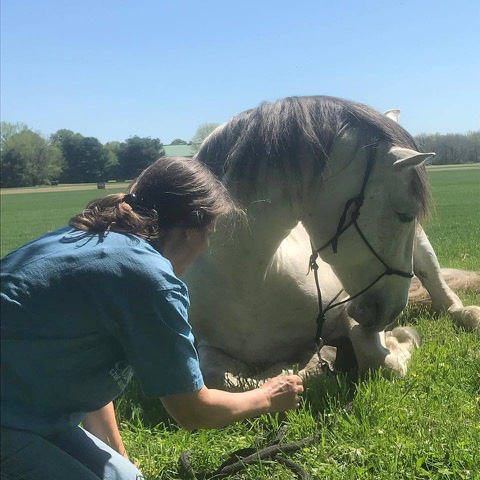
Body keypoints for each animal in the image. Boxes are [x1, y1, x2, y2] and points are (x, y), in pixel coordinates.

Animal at [183, 95, 476, 388]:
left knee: (444, 296)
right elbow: (220, 378)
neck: (249, 281)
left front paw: (400, 339)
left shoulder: (345, 310)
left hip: (423, 250)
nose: (392, 312)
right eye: (405, 215)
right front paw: (298, 368)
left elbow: (378, 358)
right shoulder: (208, 347)